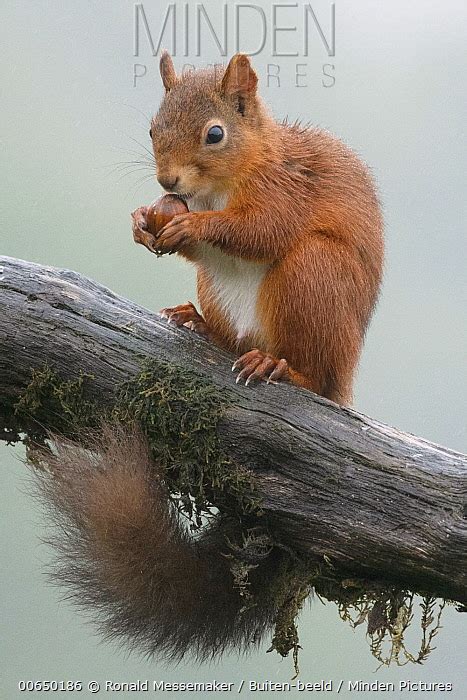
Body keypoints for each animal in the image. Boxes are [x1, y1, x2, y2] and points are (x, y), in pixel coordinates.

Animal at [132, 52, 384, 404]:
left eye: (215, 134)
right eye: (152, 130)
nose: (167, 181)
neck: (218, 187)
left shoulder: (286, 190)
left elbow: (263, 231)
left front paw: (194, 225)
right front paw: (140, 221)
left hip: (315, 273)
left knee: (313, 378)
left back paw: (277, 366)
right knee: (232, 342)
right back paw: (199, 323)